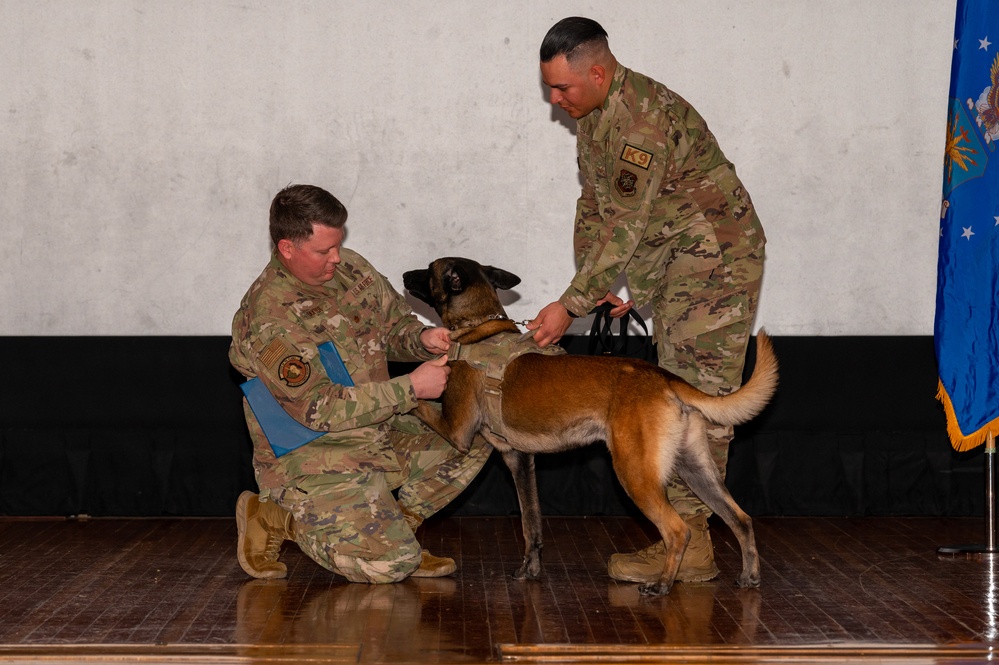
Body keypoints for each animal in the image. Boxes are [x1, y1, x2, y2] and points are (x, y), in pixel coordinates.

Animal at [402, 256, 776, 592]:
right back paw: (749, 577)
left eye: (429, 269)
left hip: (635, 473)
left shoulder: (456, 432)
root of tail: (665, 378)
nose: (404, 274)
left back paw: (662, 585)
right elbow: (531, 524)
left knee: (677, 529)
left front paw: (404, 390)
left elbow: (420, 403)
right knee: (741, 519)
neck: (478, 328)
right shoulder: (520, 461)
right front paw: (530, 570)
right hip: (696, 470)